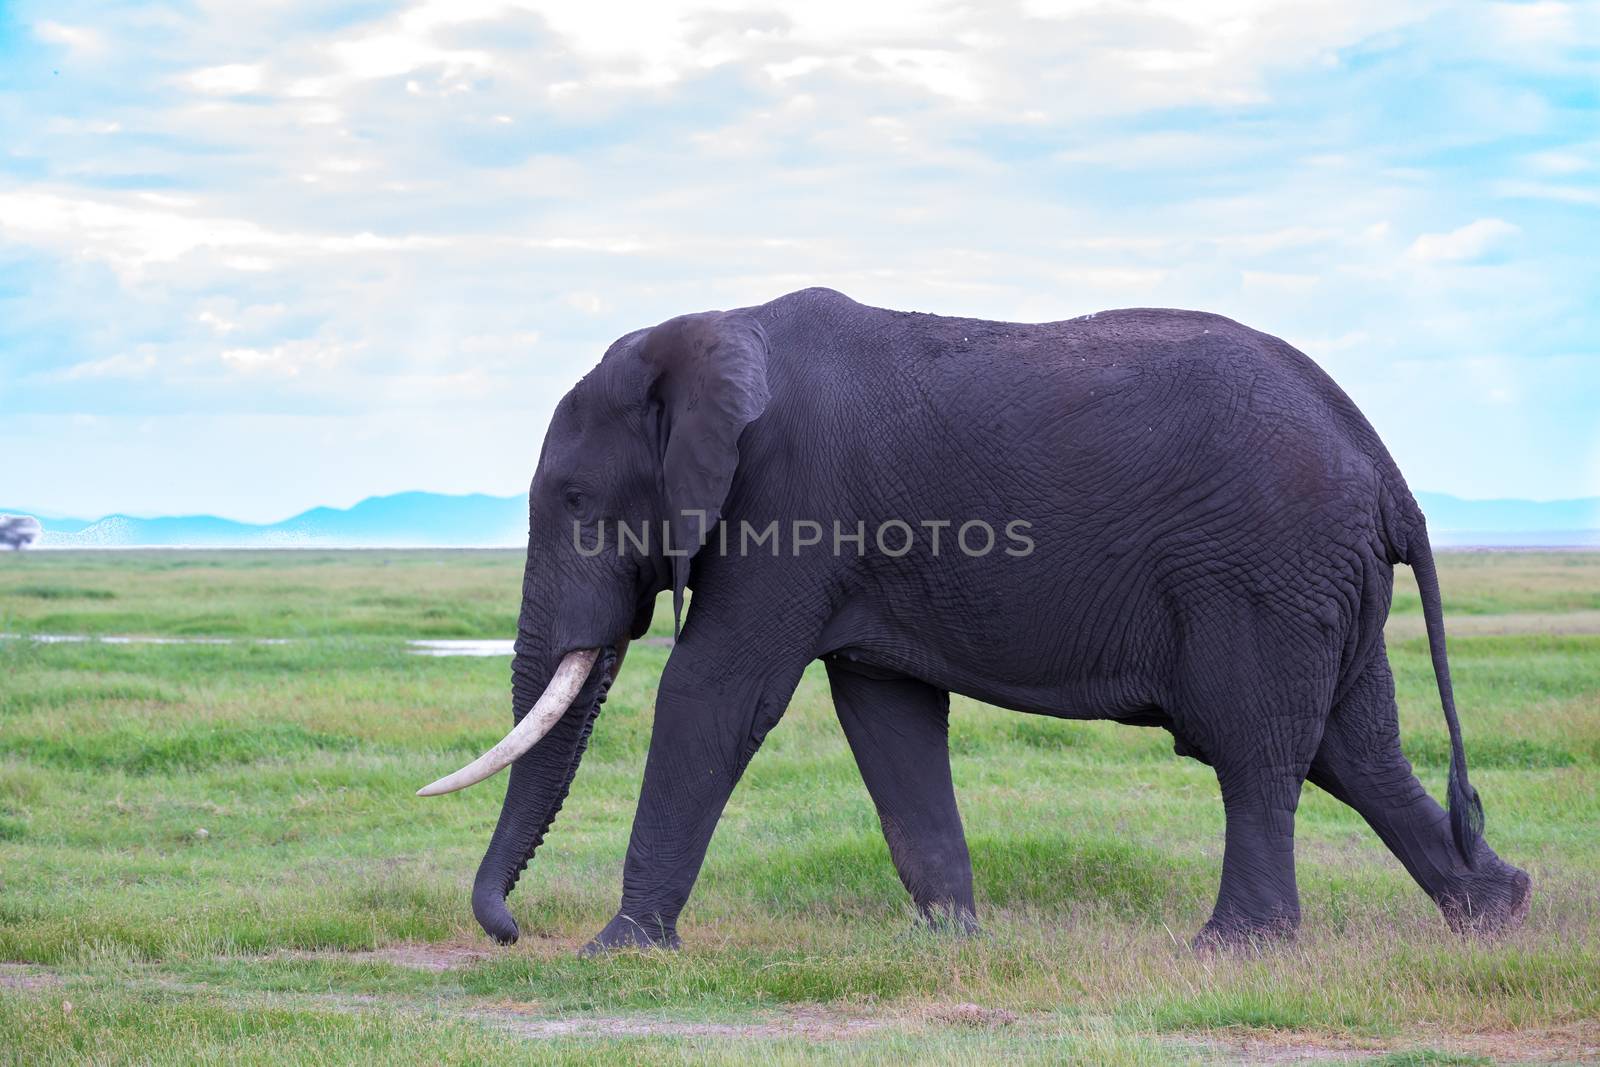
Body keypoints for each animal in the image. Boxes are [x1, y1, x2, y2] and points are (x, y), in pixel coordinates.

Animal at [419, 287, 1529, 953]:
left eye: (573, 499)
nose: (511, 929)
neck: (706, 331)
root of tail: (1382, 465)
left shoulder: (790, 501)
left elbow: (715, 693)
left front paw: (618, 948)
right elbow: (889, 715)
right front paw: (949, 938)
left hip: (1262, 571)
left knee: (1257, 747)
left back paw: (1233, 947)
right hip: (1318, 579)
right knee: (1355, 745)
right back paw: (1495, 911)